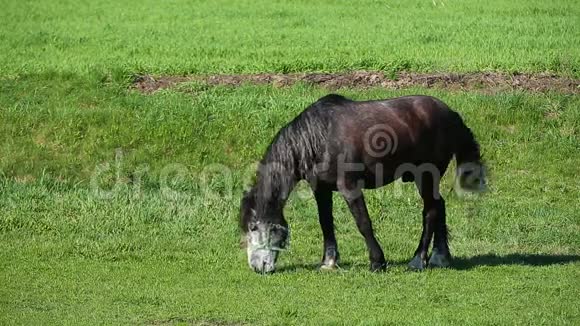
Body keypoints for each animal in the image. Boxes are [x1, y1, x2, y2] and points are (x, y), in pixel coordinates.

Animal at [239, 93, 484, 272]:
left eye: (254, 227)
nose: (257, 266)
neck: (319, 137)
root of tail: (450, 114)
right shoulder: (321, 189)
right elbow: (325, 223)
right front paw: (328, 262)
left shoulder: (349, 187)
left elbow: (363, 223)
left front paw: (377, 262)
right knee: (439, 205)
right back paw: (440, 257)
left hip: (425, 176)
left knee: (431, 211)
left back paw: (417, 260)